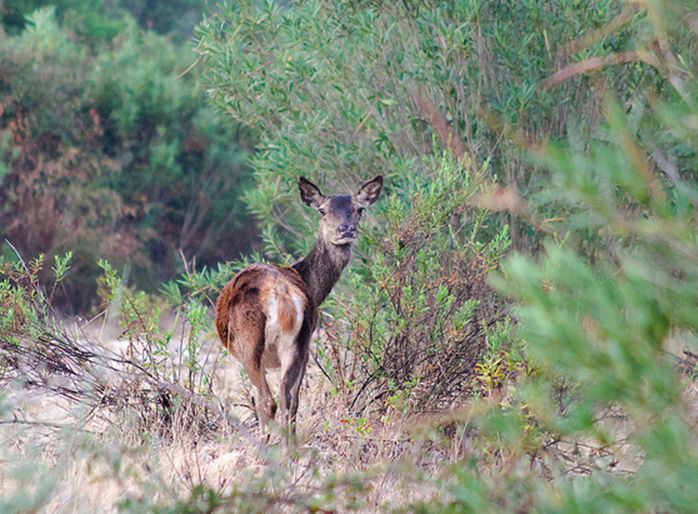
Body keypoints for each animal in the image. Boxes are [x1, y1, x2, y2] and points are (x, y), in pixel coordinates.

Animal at [215, 175, 384, 440]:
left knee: (269, 400)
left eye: (359, 209)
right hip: (297, 343)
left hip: (250, 343)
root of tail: (281, 295)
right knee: (288, 398)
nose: (346, 229)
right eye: (322, 210)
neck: (311, 284)